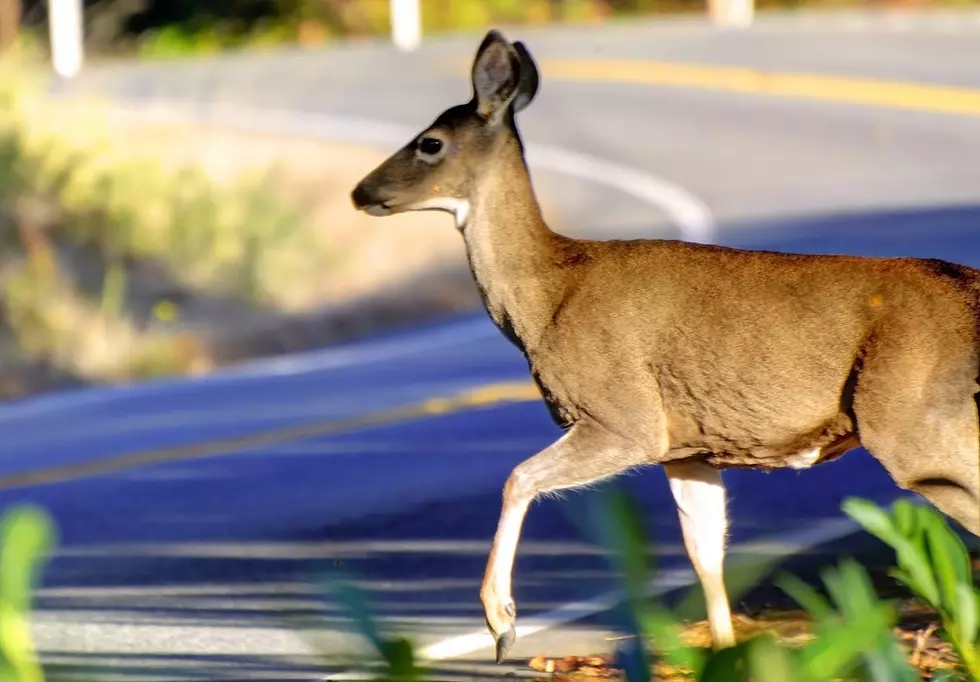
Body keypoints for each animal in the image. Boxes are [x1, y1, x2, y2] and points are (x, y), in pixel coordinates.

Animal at [350, 29, 980, 660]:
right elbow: (705, 551)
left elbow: (518, 478)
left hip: (915, 424)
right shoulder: (690, 446)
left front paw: (501, 622)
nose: (360, 191)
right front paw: (723, 652)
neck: (548, 294)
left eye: (430, 143)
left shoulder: (623, 416)